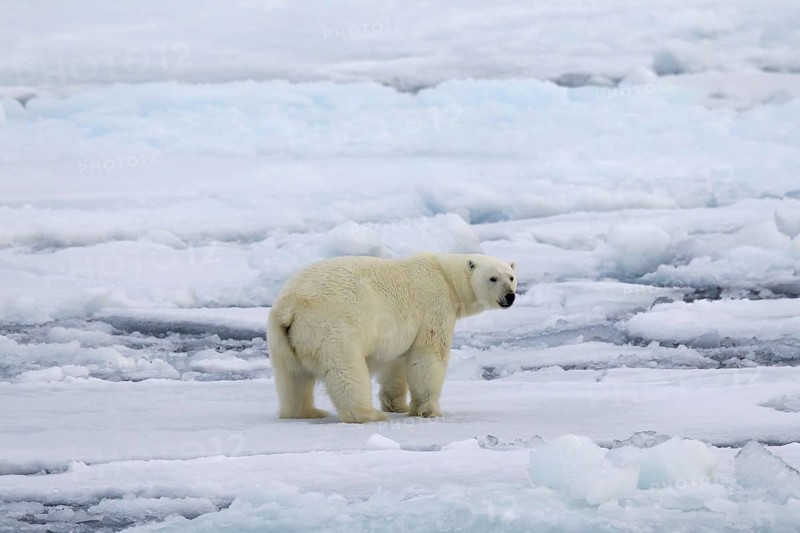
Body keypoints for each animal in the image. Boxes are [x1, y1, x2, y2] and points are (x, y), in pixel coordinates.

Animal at [267, 253, 517, 423]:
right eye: (493, 278)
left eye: (512, 277)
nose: (510, 296)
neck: (445, 276)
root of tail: (290, 307)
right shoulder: (434, 307)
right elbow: (428, 357)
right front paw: (429, 410)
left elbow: (396, 363)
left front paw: (396, 404)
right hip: (332, 329)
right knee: (346, 371)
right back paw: (369, 414)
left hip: (282, 338)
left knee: (292, 378)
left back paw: (306, 412)